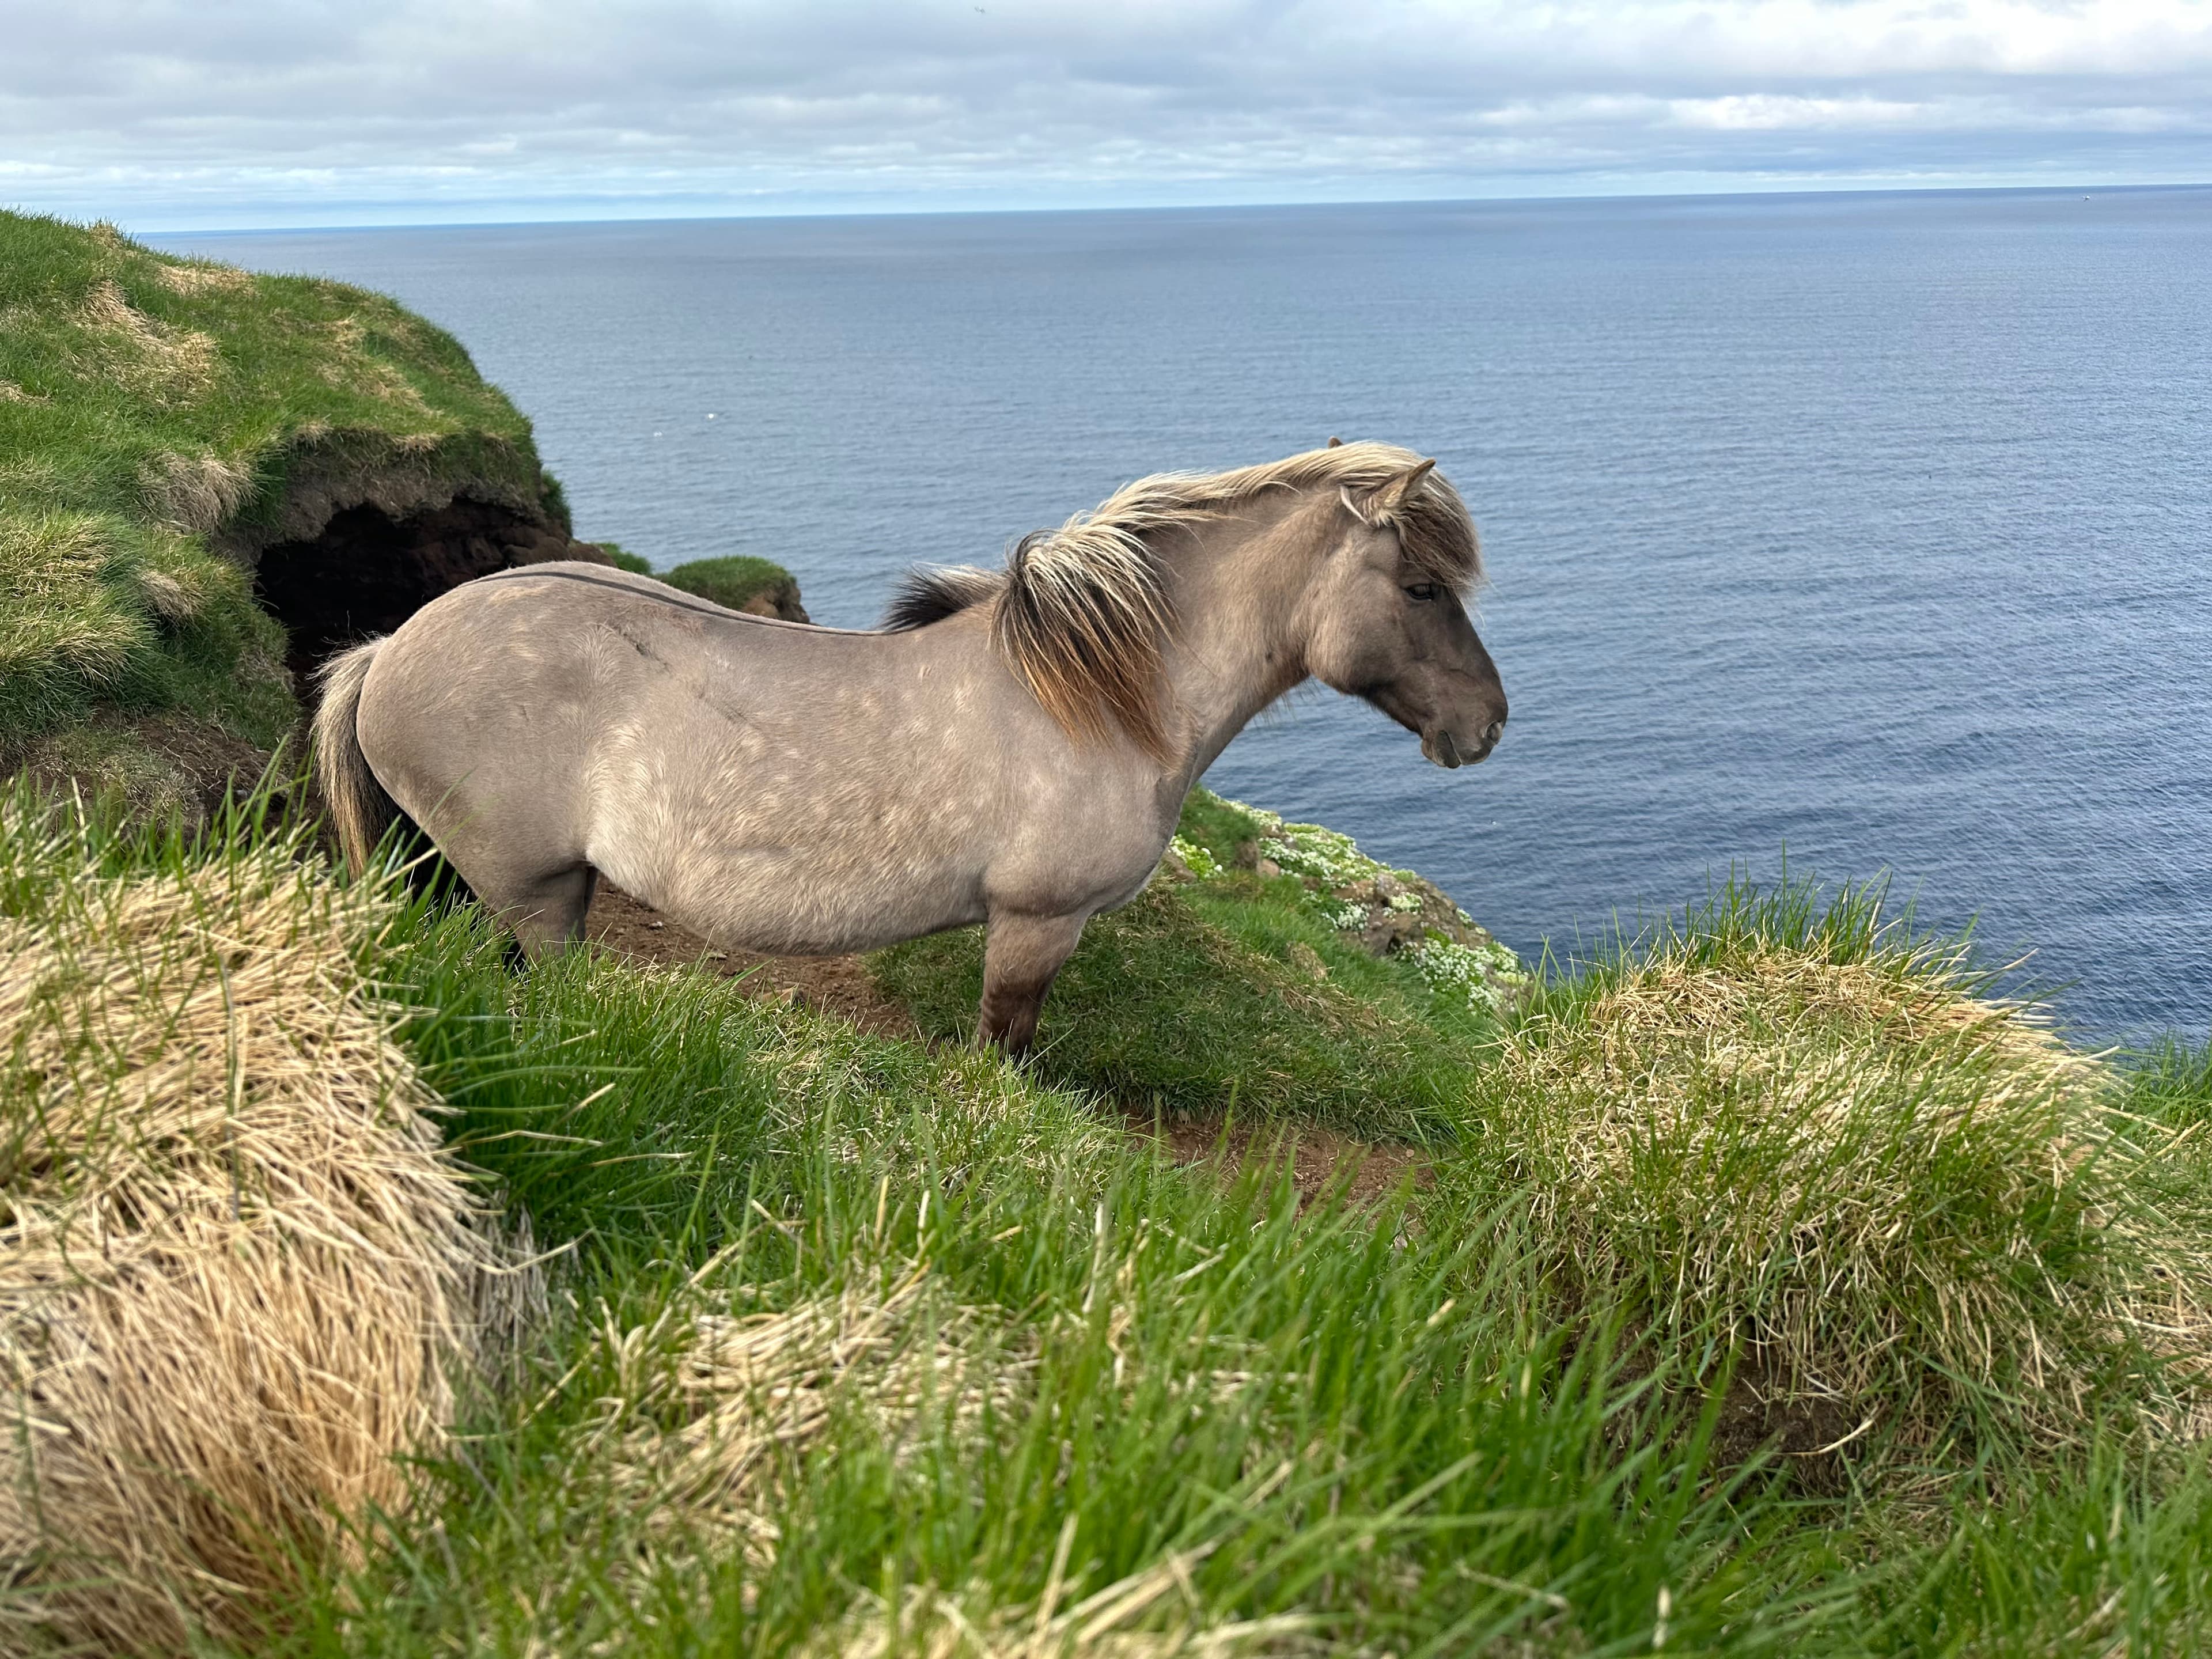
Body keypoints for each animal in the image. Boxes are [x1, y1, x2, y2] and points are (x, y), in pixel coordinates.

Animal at [313, 441, 1508, 1051]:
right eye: (1420, 586)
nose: (1487, 725)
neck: (1102, 698)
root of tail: (390, 648)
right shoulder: (1035, 925)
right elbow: (1003, 1051)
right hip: (531, 892)